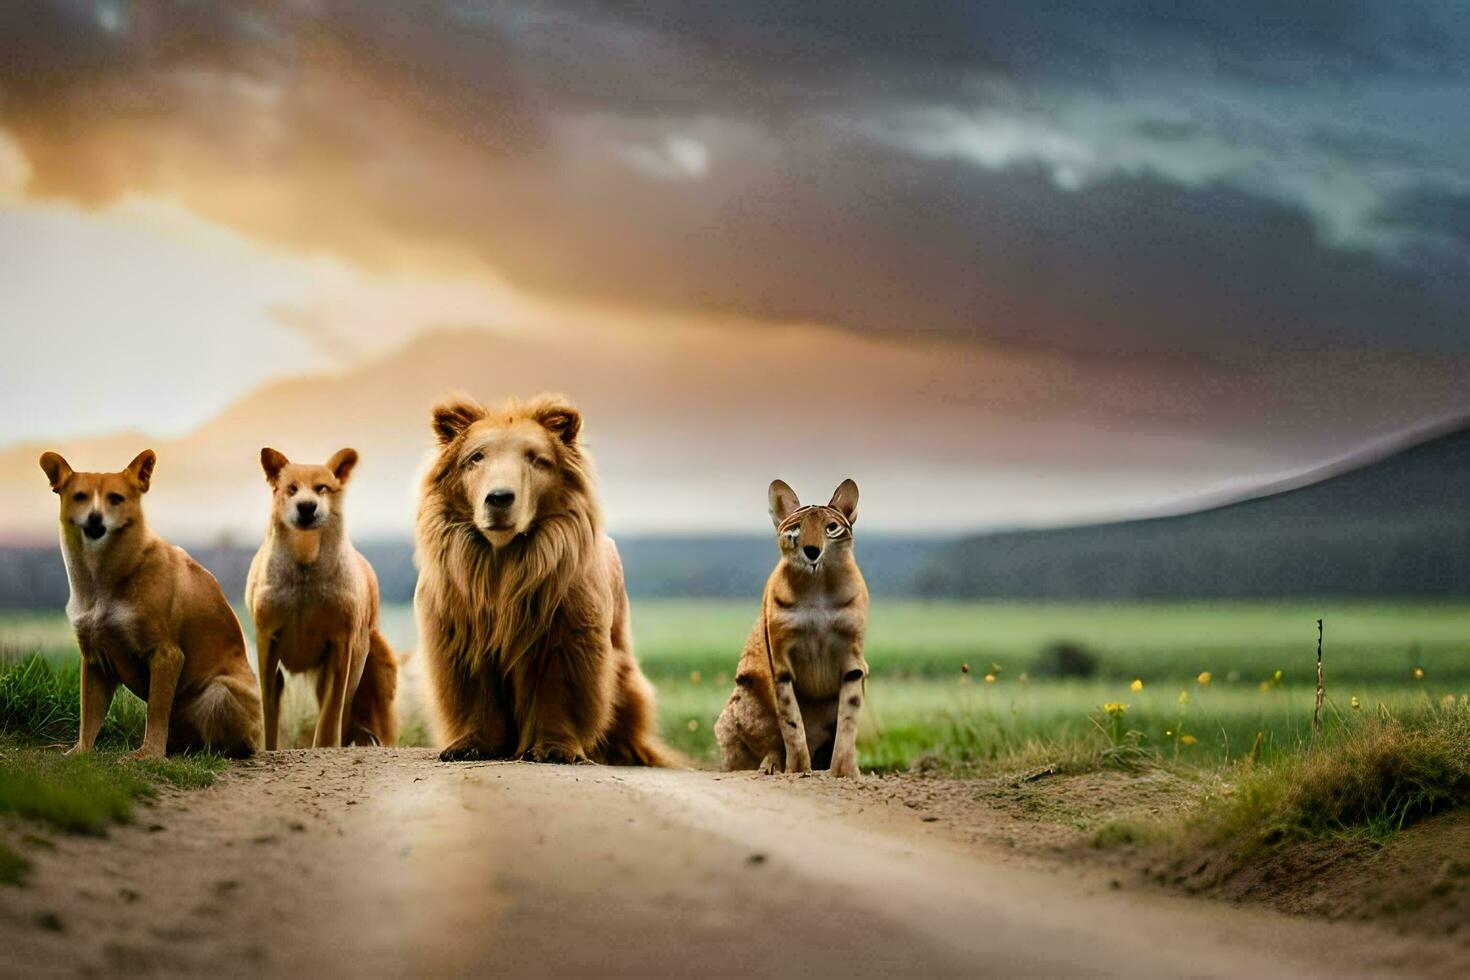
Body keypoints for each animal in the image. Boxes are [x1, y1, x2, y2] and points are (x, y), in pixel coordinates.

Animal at [38, 452, 263, 758]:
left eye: (116, 498)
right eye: (80, 496)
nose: (95, 518)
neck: (103, 578)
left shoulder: (166, 653)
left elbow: (156, 711)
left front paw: (149, 755)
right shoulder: (94, 658)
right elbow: (89, 717)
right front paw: (80, 753)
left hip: (219, 692)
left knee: (226, 741)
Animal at [414, 390, 676, 764]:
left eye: (537, 460)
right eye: (476, 457)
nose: (499, 497)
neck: (502, 560)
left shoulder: (565, 625)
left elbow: (560, 687)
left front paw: (554, 749)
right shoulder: (462, 624)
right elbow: (473, 689)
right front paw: (469, 745)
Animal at [714, 478, 864, 775]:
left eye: (831, 527)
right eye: (795, 529)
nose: (811, 551)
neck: (818, 589)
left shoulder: (853, 662)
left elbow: (847, 721)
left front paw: (845, 772)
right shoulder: (781, 664)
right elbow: (791, 723)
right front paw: (797, 769)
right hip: (744, 696)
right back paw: (770, 765)